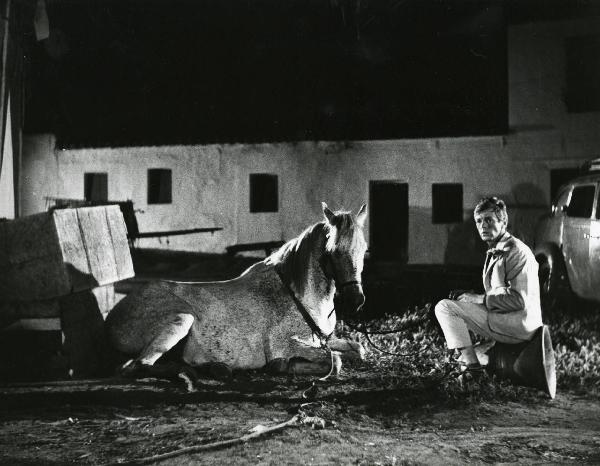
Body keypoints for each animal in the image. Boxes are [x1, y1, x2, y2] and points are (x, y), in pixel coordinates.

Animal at [106, 202, 368, 384]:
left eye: (364, 249)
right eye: (333, 251)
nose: (356, 300)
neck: (301, 297)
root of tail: (112, 317)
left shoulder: (325, 340)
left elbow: (358, 349)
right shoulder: (285, 346)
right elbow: (334, 361)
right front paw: (283, 366)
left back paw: (215, 368)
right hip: (182, 319)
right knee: (134, 366)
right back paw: (190, 373)